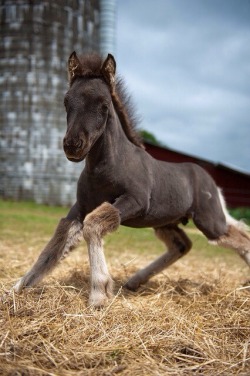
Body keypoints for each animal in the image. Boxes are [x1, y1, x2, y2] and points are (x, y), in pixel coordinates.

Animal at [14, 51, 250, 306]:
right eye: (66, 101)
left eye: (104, 105)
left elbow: (93, 225)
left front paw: (99, 294)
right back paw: (134, 281)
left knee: (239, 237)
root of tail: (212, 183)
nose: (73, 145)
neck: (106, 167)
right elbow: (56, 244)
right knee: (183, 245)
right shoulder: (80, 208)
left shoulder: (135, 201)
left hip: (209, 221)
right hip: (167, 221)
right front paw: (17, 289)